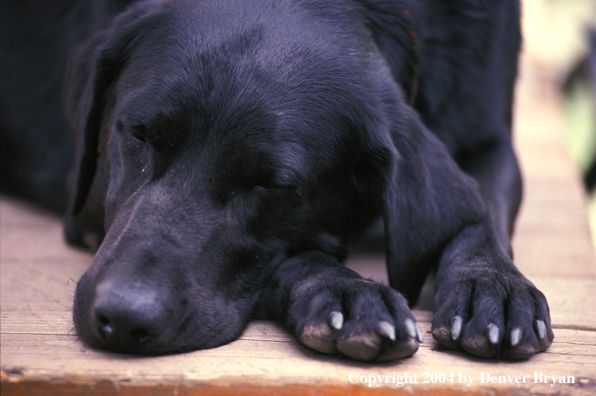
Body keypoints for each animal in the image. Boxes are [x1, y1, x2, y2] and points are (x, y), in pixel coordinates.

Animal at [2, 0, 556, 360]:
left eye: (268, 184)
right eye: (139, 134)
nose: (122, 318)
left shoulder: (493, 141)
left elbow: (482, 209)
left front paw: (493, 285)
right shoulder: (87, 201)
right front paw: (347, 291)